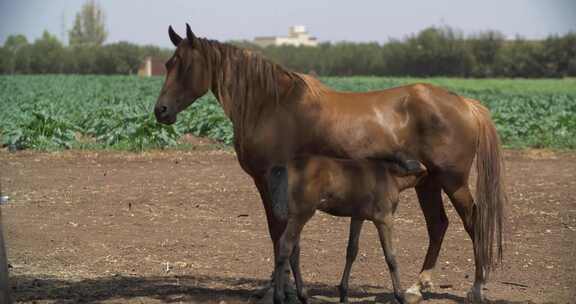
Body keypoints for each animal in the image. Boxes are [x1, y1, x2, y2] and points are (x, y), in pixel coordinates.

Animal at [268, 157, 426, 304]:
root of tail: (287, 167)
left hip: (296, 218)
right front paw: (400, 296)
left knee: (294, 251)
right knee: (285, 246)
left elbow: (352, 251)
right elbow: (390, 257)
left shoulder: (357, 217)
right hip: (301, 215)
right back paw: (279, 297)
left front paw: (344, 294)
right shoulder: (384, 220)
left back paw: (303, 296)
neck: (390, 176)